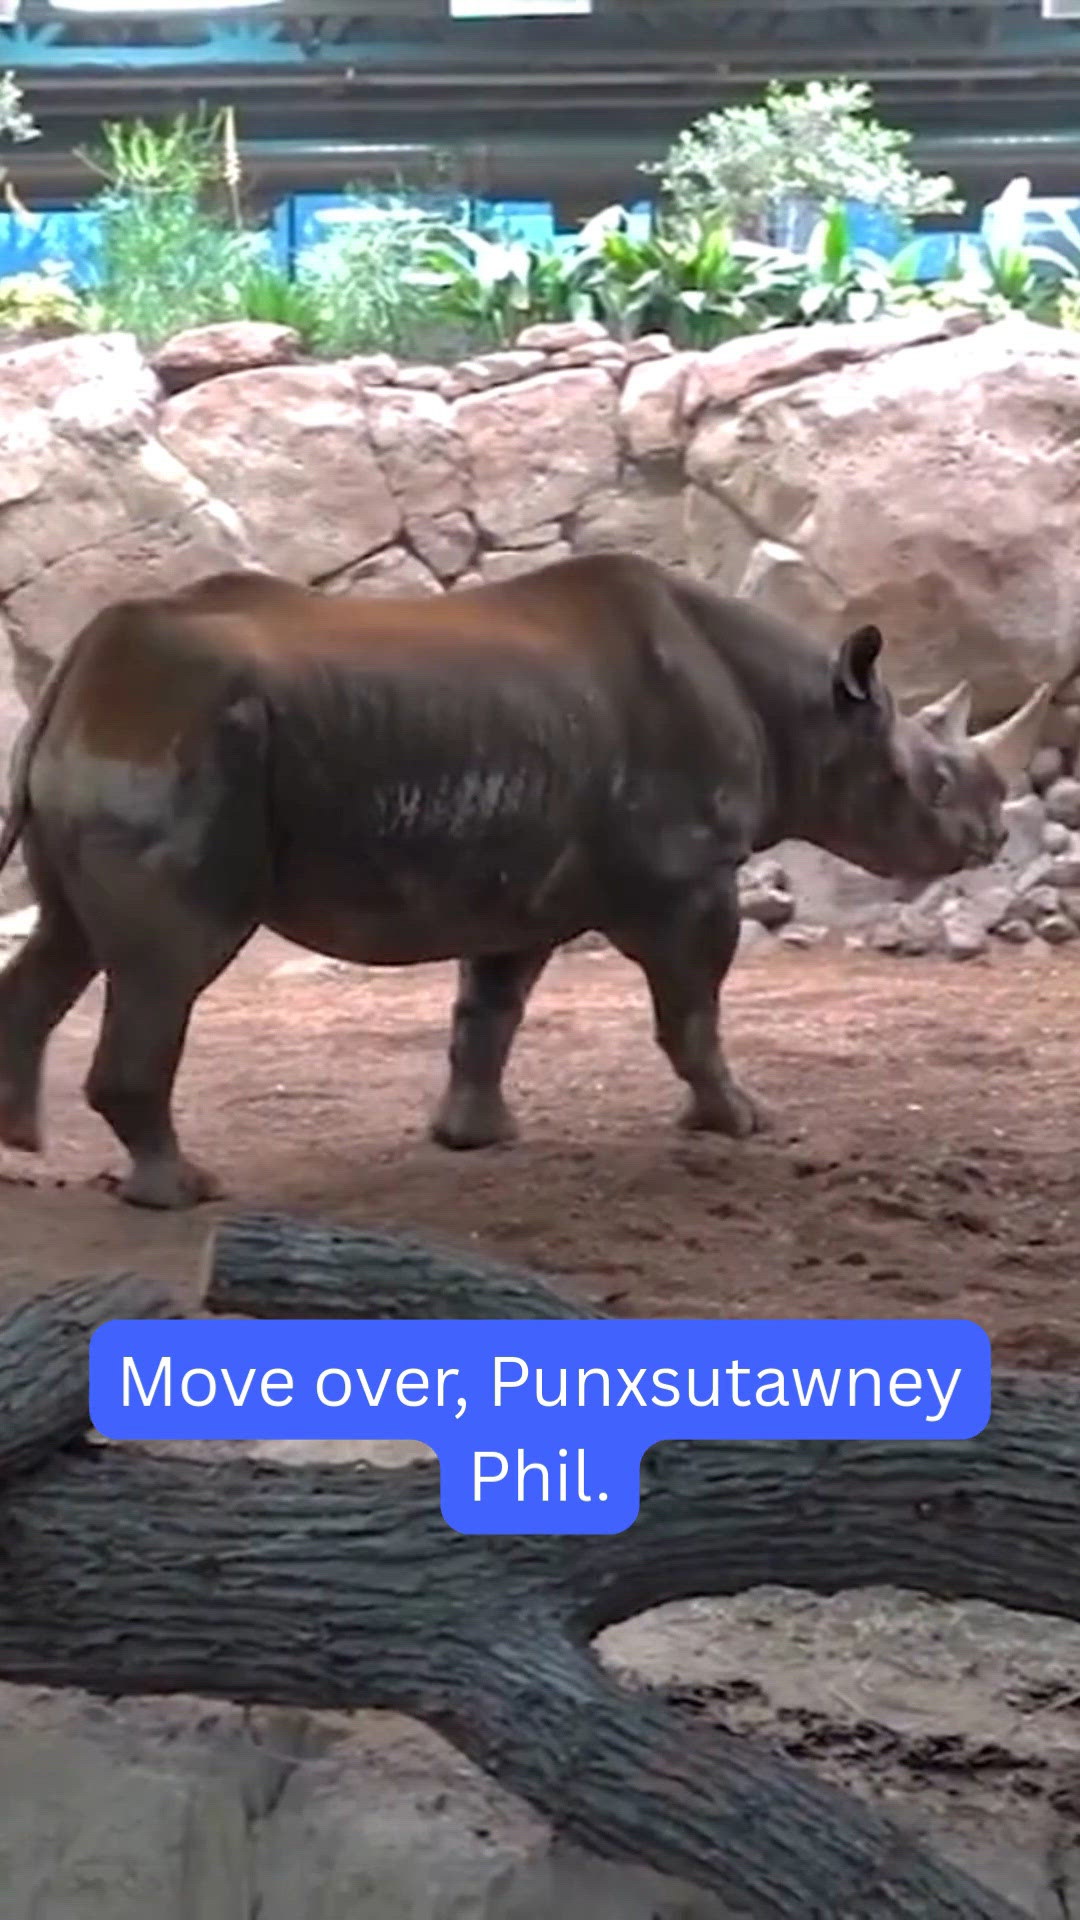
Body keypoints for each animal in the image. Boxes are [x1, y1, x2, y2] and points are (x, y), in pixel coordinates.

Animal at [0, 550, 1050, 1209]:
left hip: (140, 732)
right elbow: (694, 1011)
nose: (992, 836)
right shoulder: (687, 878)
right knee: (171, 961)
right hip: (186, 733)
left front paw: (478, 1139)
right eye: (932, 782)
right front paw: (741, 1123)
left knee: (66, 937)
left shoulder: (519, 880)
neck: (808, 714)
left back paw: (19, 1154)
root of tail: (77, 669)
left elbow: (490, 1009)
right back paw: (182, 1193)